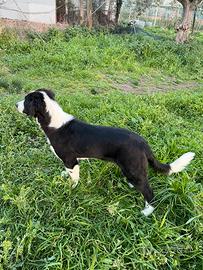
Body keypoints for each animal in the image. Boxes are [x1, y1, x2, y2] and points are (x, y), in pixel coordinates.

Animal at [16, 89, 195, 216]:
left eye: (26, 100)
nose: (15, 104)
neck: (53, 121)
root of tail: (144, 143)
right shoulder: (70, 162)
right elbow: (68, 172)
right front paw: (65, 176)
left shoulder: (71, 160)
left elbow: (74, 178)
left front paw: (70, 188)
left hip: (132, 167)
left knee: (149, 192)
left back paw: (147, 211)